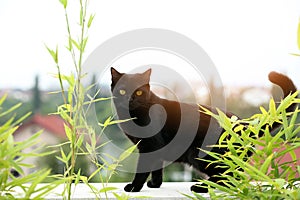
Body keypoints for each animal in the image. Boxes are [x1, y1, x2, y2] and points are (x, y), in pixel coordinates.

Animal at [109, 68, 296, 193]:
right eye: (123, 90)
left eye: (139, 92)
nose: (130, 98)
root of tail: (243, 124)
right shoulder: (155, 150)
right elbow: (157, 169)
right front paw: (155, 184)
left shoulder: (150, 147)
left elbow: (143, 169)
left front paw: (134, 187)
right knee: (234, 176)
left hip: (201, 155)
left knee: (227, 177)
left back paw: (201, 187)